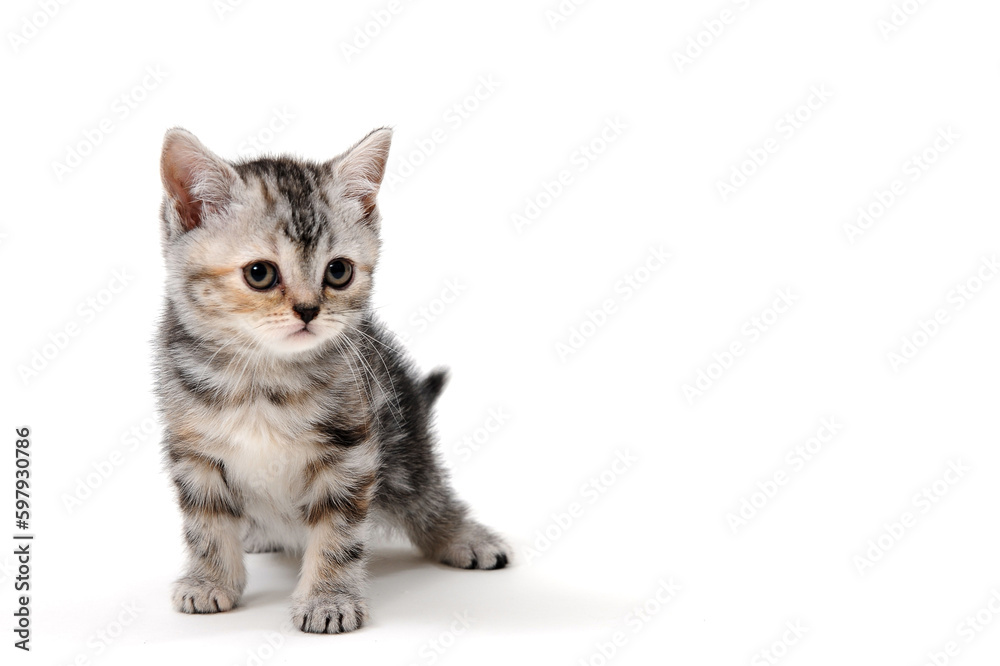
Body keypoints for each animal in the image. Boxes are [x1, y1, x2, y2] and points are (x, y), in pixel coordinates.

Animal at [154, 127, 508, 632]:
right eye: (260, 273)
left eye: (338, 271)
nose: (308, 310)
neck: (263, 378)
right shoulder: (193, 449)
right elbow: (207, 523)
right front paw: (209, 581)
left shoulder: (351, 448)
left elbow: (338, 531)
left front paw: (328, 598)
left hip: (405, 447)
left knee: (428, 498)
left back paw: (463, 536)